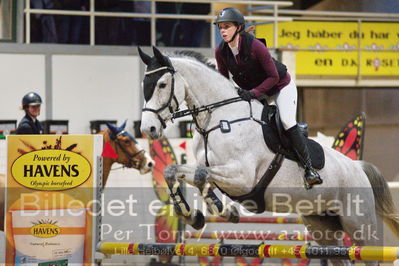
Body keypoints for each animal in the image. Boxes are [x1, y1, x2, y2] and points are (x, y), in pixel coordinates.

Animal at [138, 46, 399, 264]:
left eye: (162, 85)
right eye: (144, 85)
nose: (147, 129)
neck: (219, 118)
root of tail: (358, 167)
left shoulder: (242, 178)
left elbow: (202, 175)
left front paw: (222, 210)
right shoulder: (214, 171)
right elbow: (175, 171)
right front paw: (194, 215)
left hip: (359, 226)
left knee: (371, 254)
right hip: (322, 226)